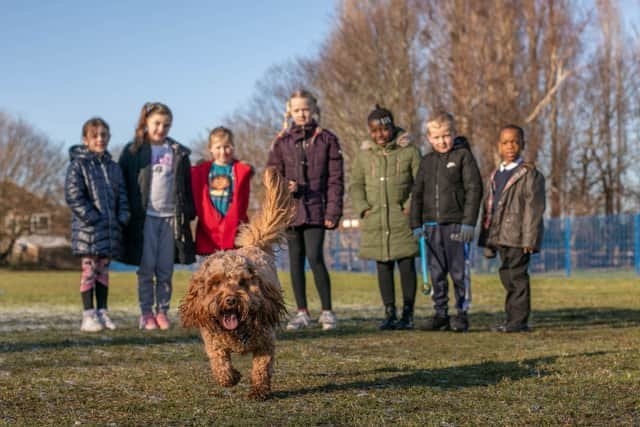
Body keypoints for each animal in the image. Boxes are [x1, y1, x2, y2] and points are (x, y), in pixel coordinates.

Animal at [180, 168, 296, 402]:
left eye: (242, 282)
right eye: (215, 283)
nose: (231, 300)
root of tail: (254, 245)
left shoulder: (265, 342)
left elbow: (261, 368)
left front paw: (259, 390)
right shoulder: (213, 342)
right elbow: (220, 364)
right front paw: (232, 377)